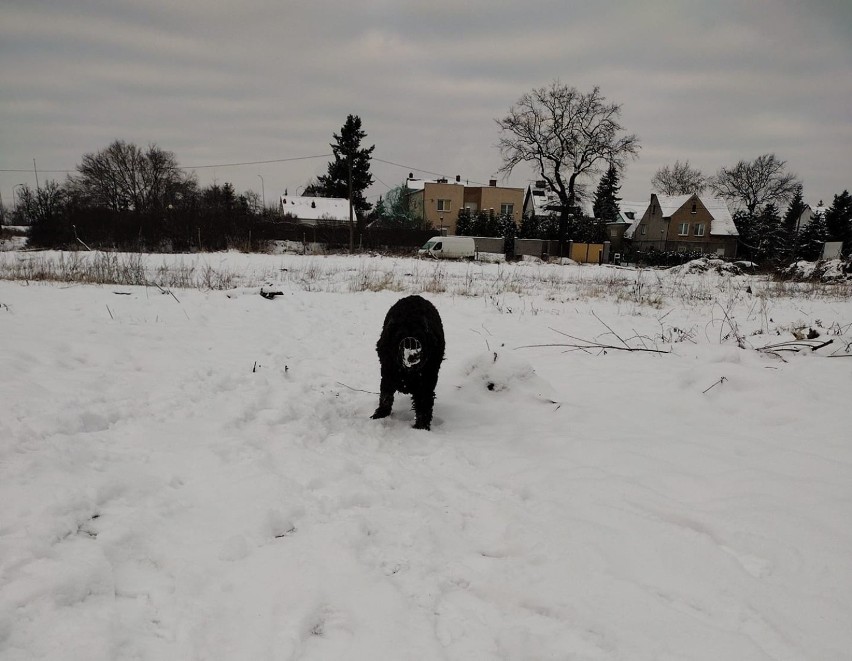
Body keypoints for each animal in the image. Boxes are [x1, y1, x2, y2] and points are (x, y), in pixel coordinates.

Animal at [372, 294, 446, 428]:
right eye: (399, 337)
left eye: (420, 337)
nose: (413, 355)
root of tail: (415, 296)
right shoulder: (387, 374)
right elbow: (385, 398)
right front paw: (379, 416)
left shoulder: (426, 382)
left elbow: (424, 406)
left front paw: (421, 427)